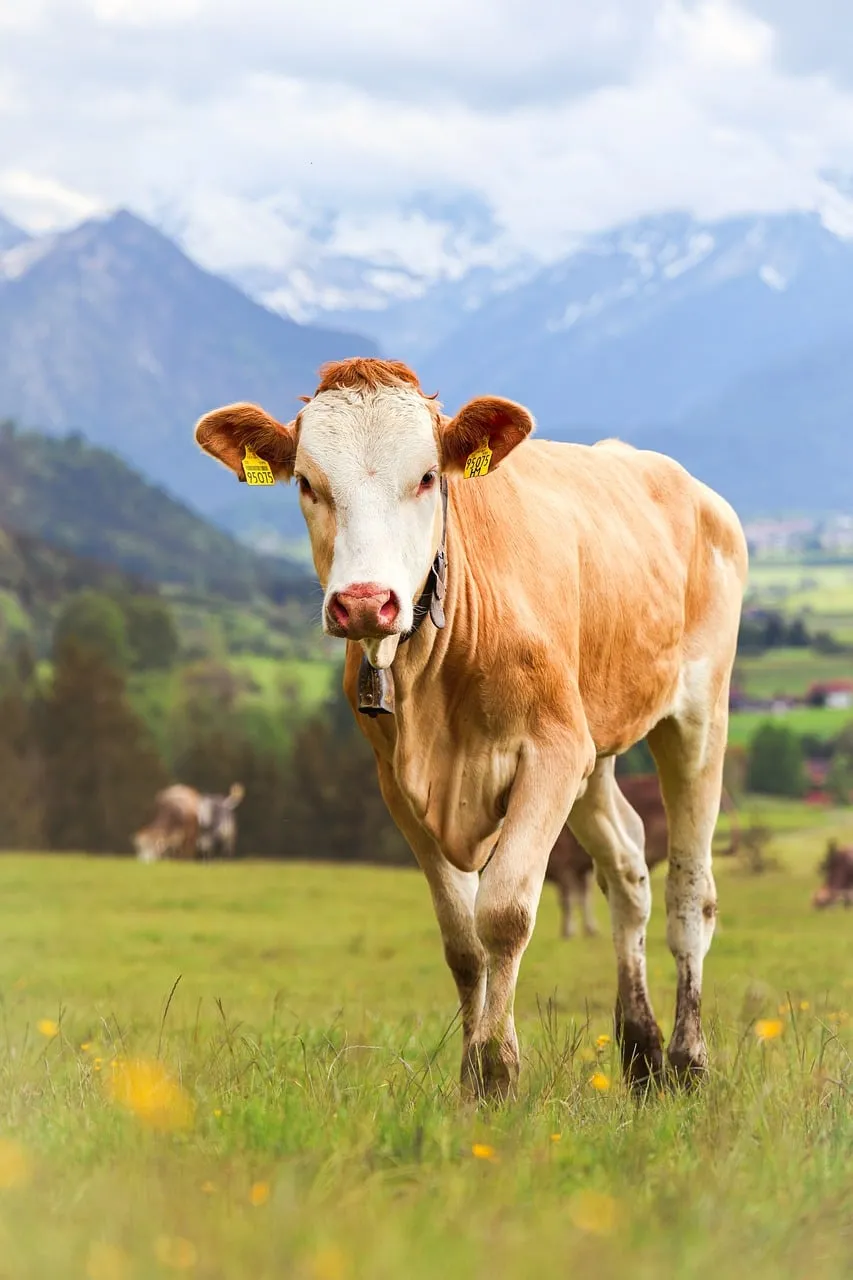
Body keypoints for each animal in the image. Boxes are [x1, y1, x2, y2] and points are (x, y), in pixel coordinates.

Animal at [194, 357, 748, 1101]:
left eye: (428, 476)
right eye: (308, 484)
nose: (364, 602)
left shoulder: (550, 755)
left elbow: (503, 915)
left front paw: (496, 1072)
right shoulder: (400, 784)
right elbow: (461, 939)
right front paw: (469, 1079)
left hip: (696, 715)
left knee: (691, 897)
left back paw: (688, 1060)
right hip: (595, 748)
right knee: (628, 869)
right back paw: (640, 1051)